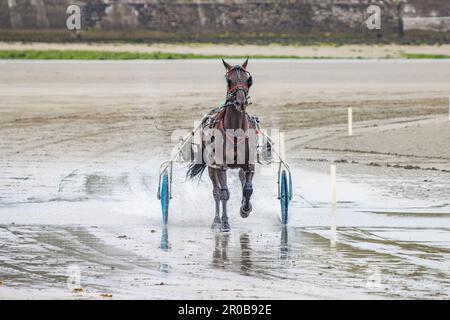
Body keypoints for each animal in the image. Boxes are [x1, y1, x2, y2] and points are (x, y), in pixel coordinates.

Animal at [187, 58, 256, 232]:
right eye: (229, 80)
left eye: (248, 80)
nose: (240, 102)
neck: (236, 129)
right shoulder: (221, 165)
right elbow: (224, 192)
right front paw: (224, 222)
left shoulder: (249, 164)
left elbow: (248, 189)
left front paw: (245, 209)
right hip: (212, 167)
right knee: (216, 192)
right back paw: (217, 220)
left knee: (242, 178)